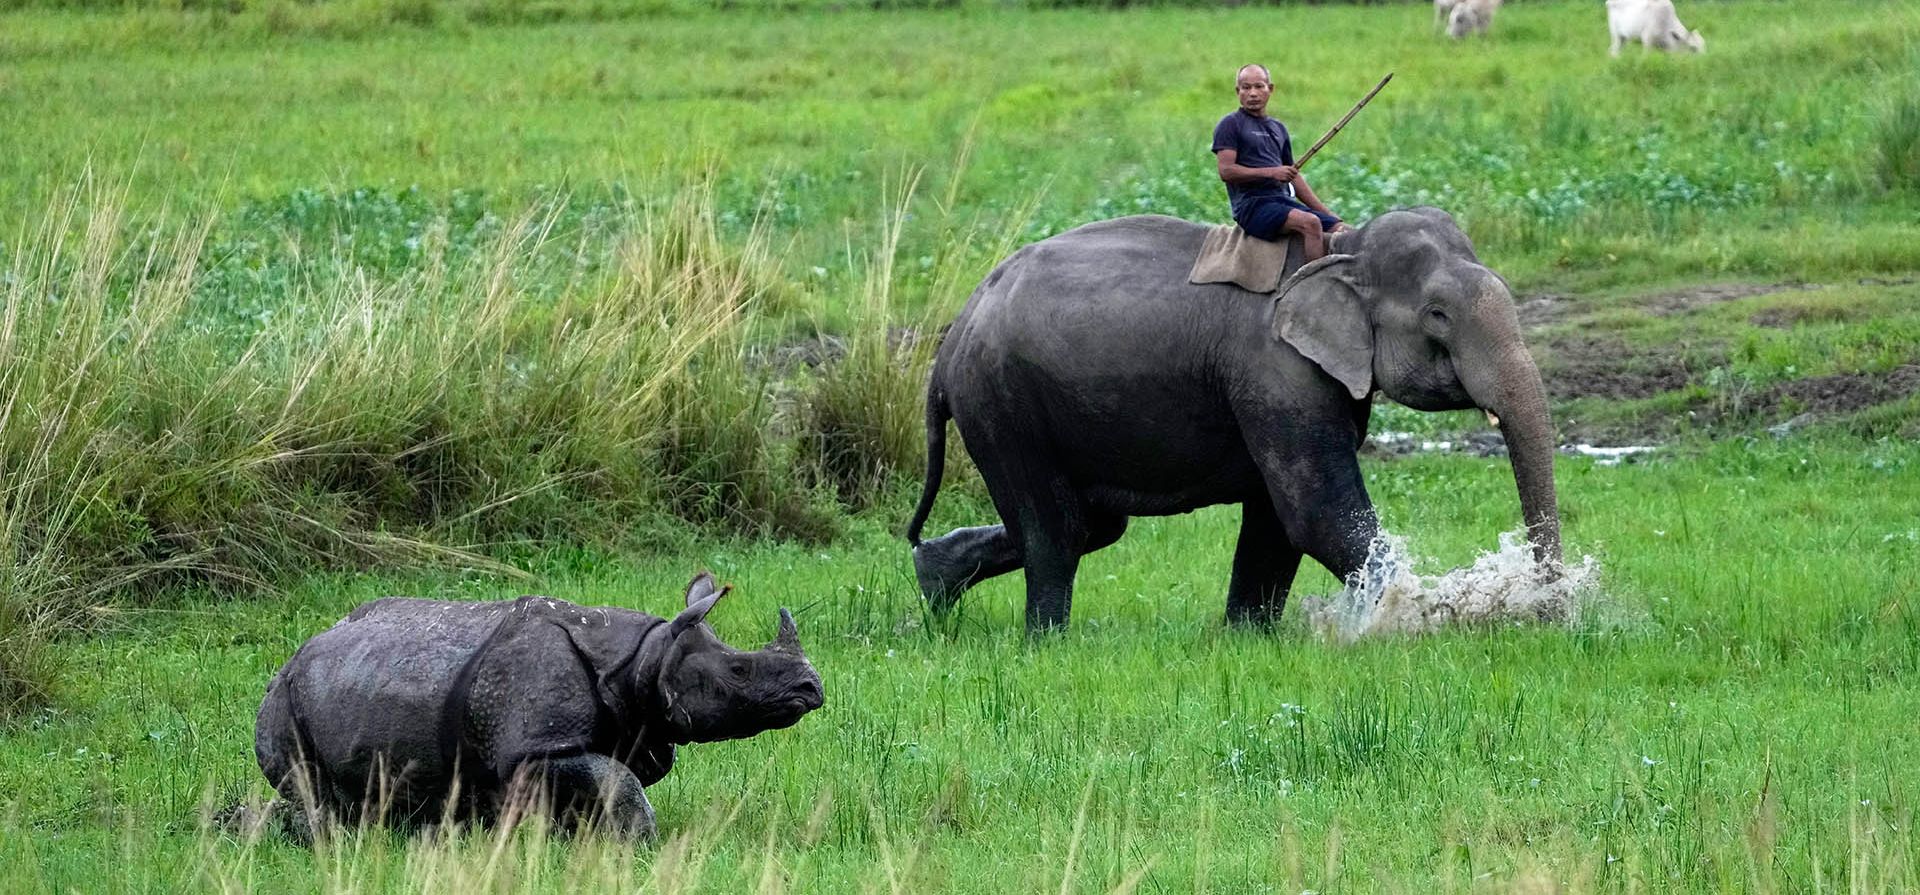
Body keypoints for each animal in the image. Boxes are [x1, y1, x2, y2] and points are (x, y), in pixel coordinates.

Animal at [905, 208, 1561, 631]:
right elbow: (1317, 514)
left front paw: (1248, 637)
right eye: (1437, 316)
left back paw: (933, 585)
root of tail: (950, 342)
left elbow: (1276, 522)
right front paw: (1425, 617)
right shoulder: (1277, 371)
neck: (1342, 244)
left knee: (1091, 526)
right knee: (1060, 531)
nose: (1550, 614)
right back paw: (1044, 640)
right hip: (1003, 406)